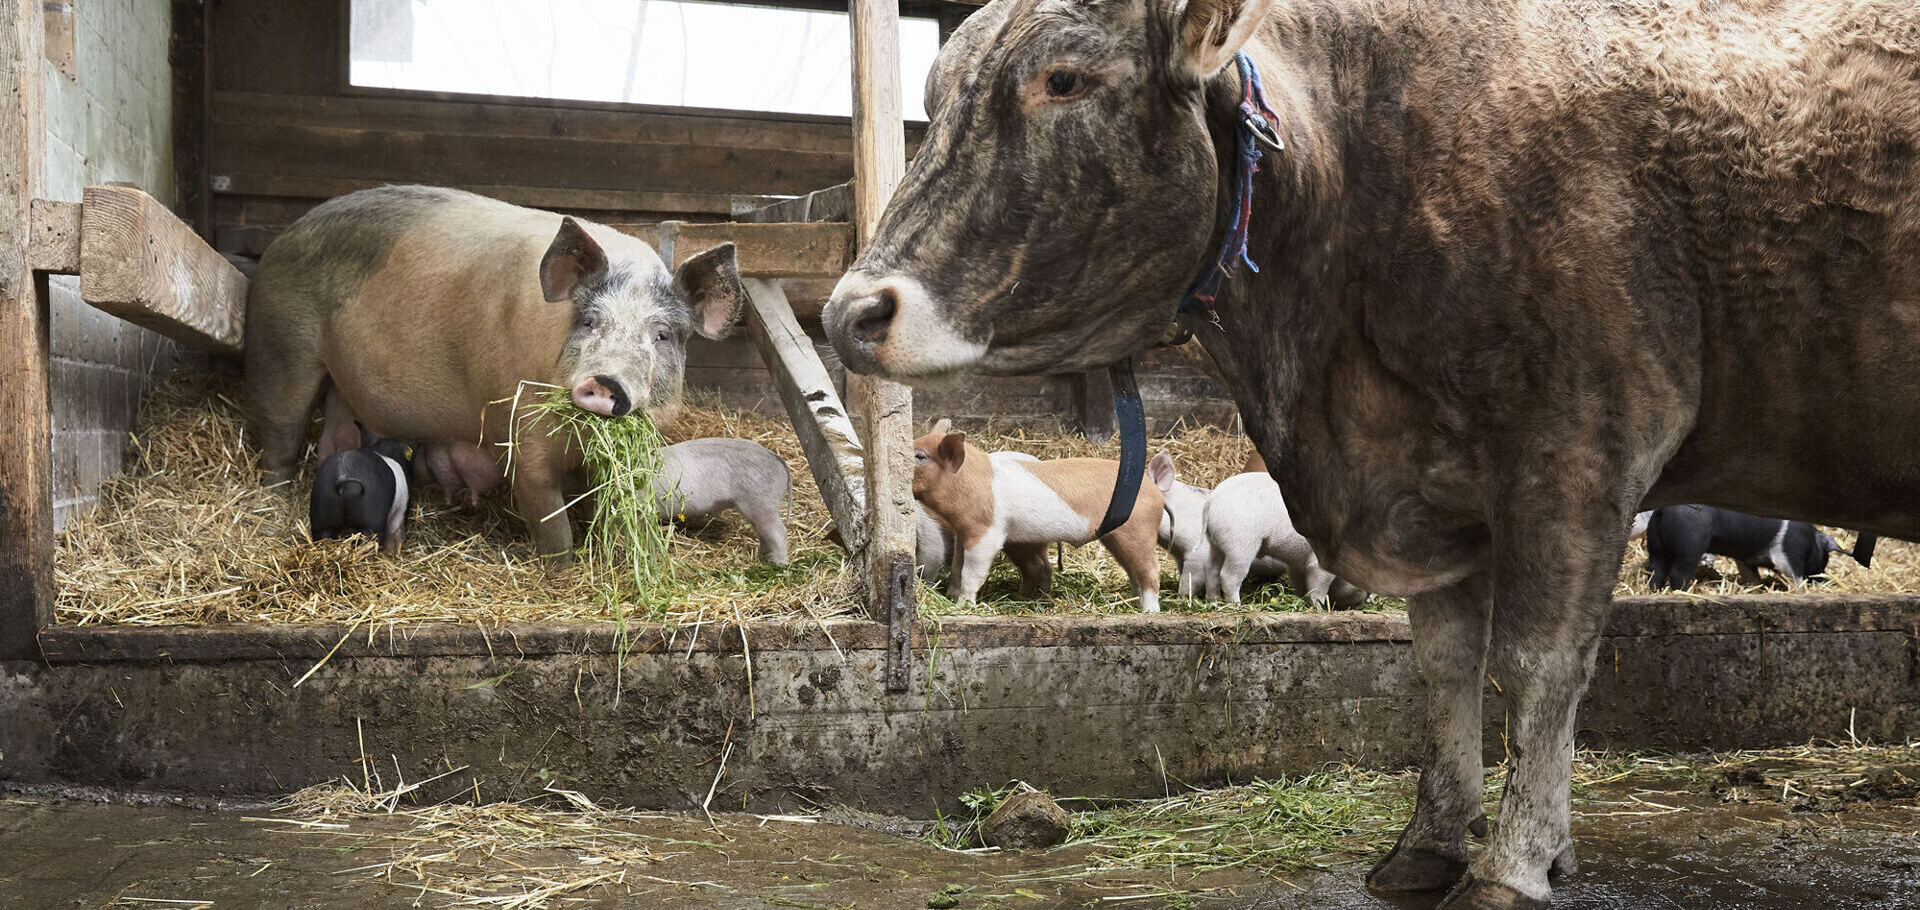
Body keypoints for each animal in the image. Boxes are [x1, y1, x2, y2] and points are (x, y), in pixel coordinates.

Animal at [821, 1, 1920, 910]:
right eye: (933, 96)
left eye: (1065, 79)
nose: (851, 312)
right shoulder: (1433, 487)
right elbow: (1442, 665)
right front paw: (1433, 843)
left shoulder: (1582, 447)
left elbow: (1538, 665)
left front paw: (1515, 864)